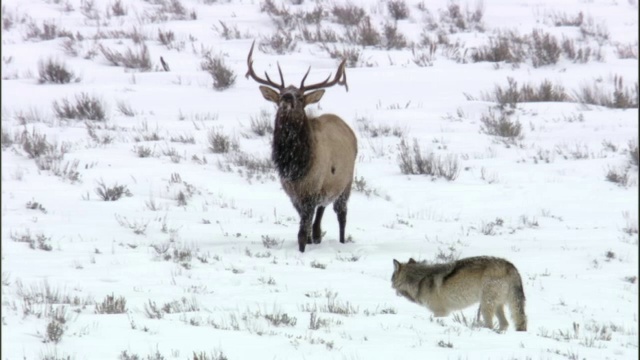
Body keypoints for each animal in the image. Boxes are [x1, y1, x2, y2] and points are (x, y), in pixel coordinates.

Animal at [245, 40, 358, 253]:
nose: (287, 97)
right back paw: (318, 238)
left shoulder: (310, 191)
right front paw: (309, 243)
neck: (296, 165)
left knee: (342, 215)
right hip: (326, 190)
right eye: (281, 93)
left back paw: (341, 241)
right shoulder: (294, 193)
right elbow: (305, 228)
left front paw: (302, 251)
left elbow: (302, 233)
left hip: (346, 183)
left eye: (299, 96)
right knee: (320, 217)